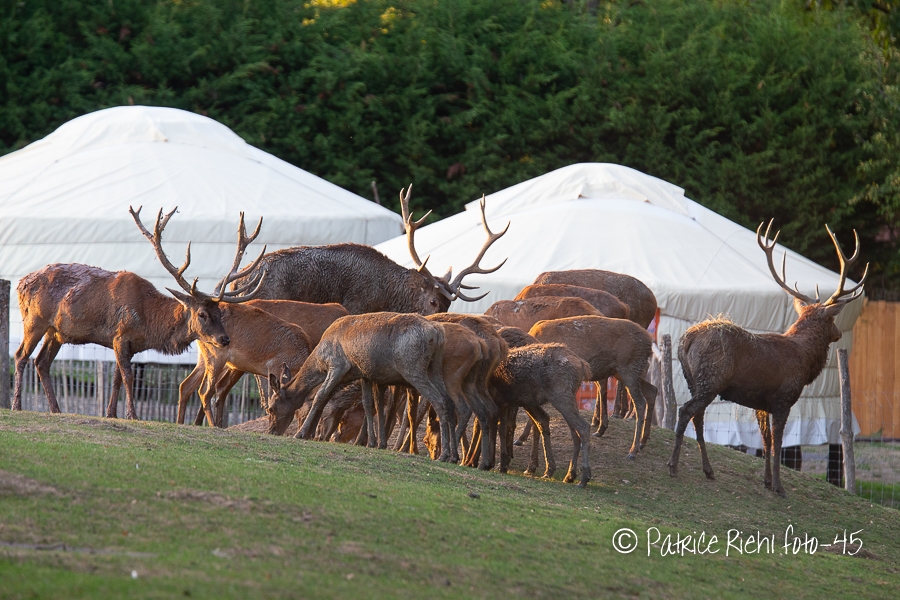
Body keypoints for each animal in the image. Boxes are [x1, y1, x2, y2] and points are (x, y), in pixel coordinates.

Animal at [12, 207, 266, 420]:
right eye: (202, 314)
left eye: (221, 314)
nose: (225, 339)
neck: (148, 321)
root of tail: (20, 283)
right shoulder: (121, 335)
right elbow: (129, 377)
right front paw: (132, 415)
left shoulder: (127, 343)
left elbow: (116, 378)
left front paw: (111, 414)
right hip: (34, 320)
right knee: (21, 355)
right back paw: (17, 406)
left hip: (55, 331)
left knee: (42, 362)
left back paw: (56, 409)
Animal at [265, 312, 460, 462]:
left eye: (271, 408)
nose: (271, 431)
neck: (319, 360)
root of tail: (437, 332)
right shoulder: (363, 374)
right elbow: (368, 405)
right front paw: (373, 442)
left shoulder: (338, 365)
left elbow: (321, 396)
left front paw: (301, 434)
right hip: (435, 368)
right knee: (449, 401)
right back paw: (454, 456)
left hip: (412, 368)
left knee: (439, 401)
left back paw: (444, 455)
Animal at [668, 221, 867, 497]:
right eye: (831, 319)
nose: (838, 333)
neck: (806, 361)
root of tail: (685, 340)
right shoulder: (784, 396)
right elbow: (778, 440)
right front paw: (779, 487)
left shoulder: (761, 402)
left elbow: (766, 439)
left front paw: (766, 481)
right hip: (710, 379)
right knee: (686, 411)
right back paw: (673, 465)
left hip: (693, 380)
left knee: (697, 416)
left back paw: (708, 470)